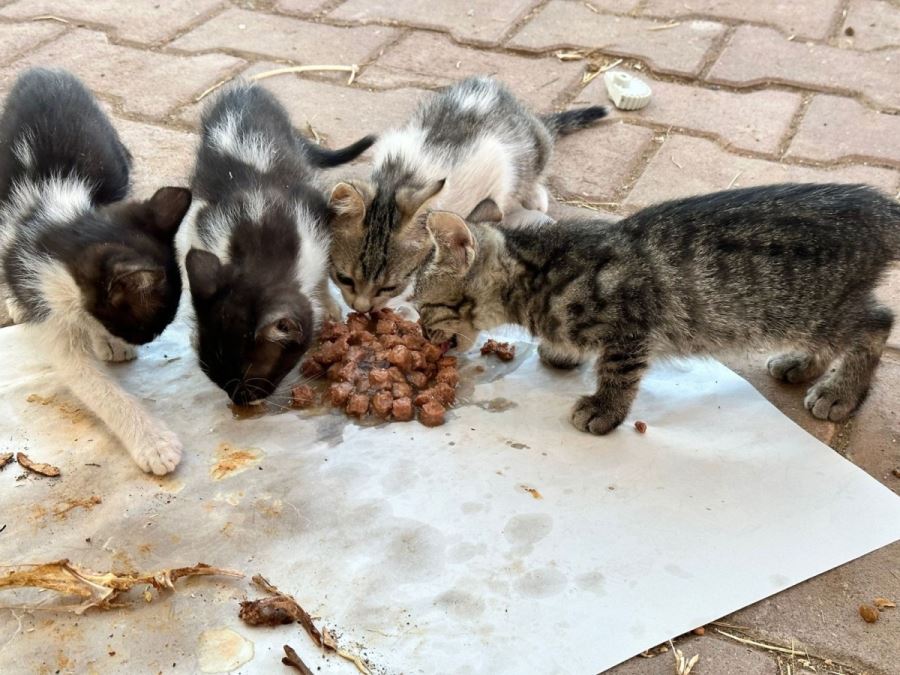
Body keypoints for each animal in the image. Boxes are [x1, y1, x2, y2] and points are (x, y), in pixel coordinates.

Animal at [0, 66, 192, 472]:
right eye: (146, 328)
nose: (145, 340)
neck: (57, 225)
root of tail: (43, 72)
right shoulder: (47, 301)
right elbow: (92, 384)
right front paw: (153, 442)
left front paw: (107, 342)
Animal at [183, 82, 376, 404]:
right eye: (210, 373)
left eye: (251, 377)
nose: (239, 400)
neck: (263, 244)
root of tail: (244, 87)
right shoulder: (204, 222)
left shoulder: (314, 220)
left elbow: (321, 272)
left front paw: (328, 307)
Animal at [326, 74, 608, 314]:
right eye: (344, 279)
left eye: (389, 287)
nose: (361, 309)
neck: (398, 179)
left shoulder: (493, 169)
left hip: (534, 148)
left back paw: (535, 196)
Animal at [414, 184, 900, 434]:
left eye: (421, 307)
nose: (420, 333)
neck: (540, 273)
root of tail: (878, 208)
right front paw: (562, 351)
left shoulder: (630, 322)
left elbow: (618, 371)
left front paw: (604, 408)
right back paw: (801, 363)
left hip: (809, 308)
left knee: (877, 322)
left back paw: (840, 393)